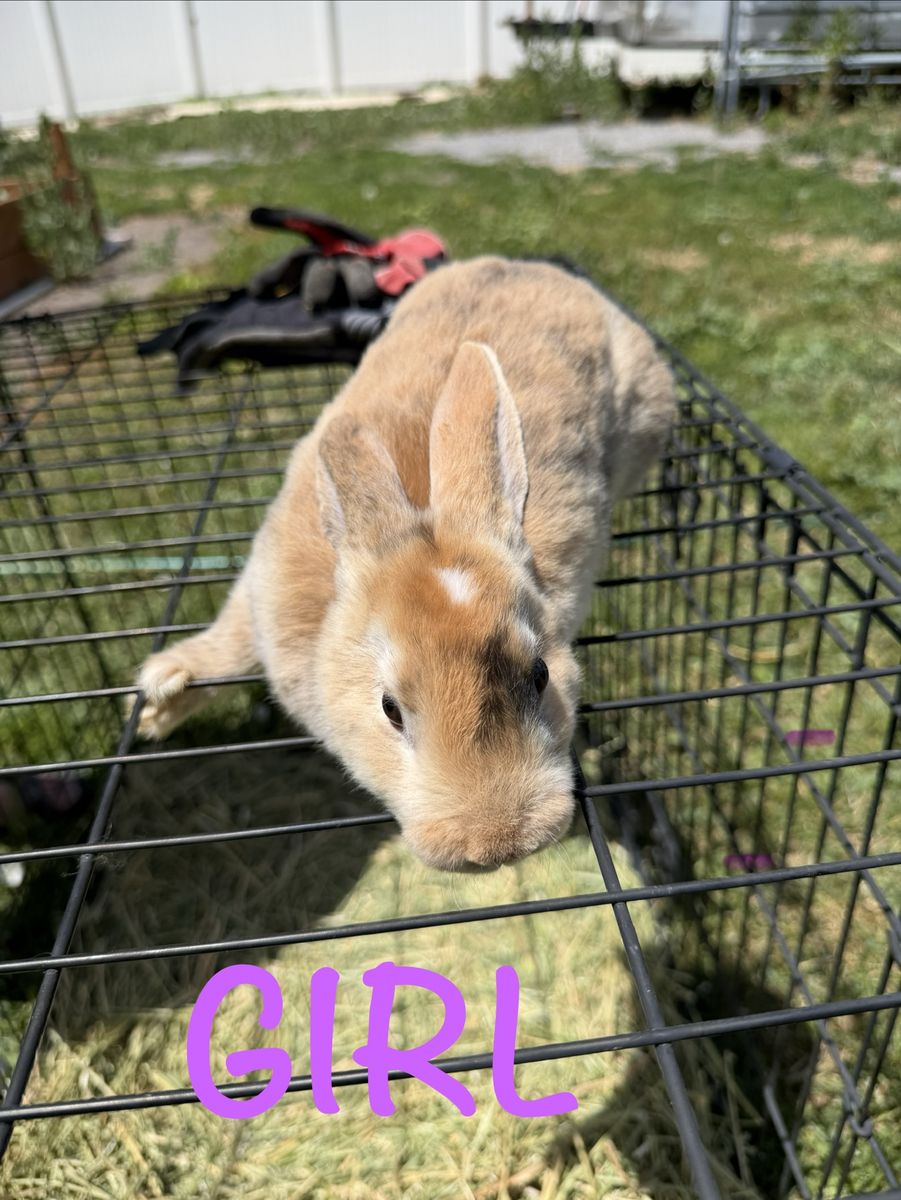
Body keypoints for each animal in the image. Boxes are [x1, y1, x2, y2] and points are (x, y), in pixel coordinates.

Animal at [136, 257, 675, 871]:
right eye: (389, 708)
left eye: (540, 674)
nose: (496, 845)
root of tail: (527, 267)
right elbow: (229, 646)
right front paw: (159, 700)